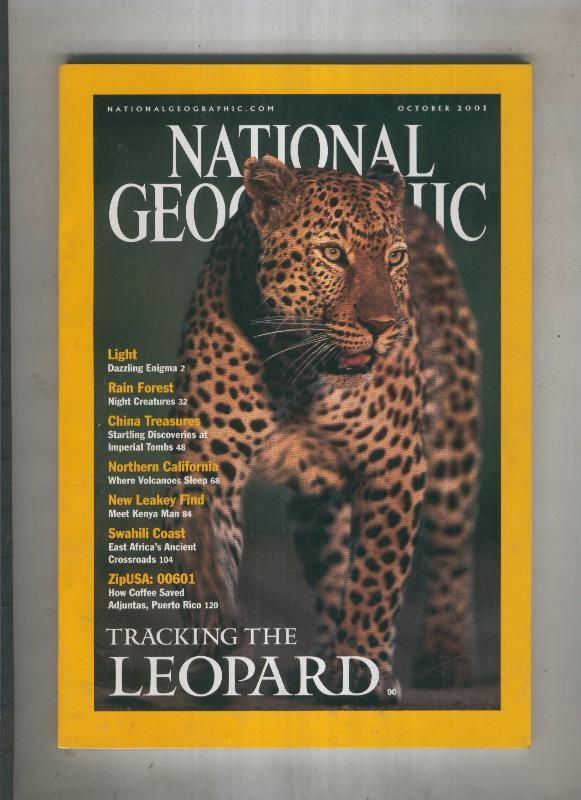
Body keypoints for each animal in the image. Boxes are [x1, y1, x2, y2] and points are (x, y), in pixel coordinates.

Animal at [171, 155, 481, 706]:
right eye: (333, 254)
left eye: (394, 258)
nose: (383, 326)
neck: (295, 368)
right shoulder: (205, 455)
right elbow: (205, 554)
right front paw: (215, 647)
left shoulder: (396, 461)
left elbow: (378, 574)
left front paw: (364, 669)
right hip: (318, 502)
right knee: (333, 570)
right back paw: (320, 665)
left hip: (452, 446)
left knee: (452, 549)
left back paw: (447, 656)